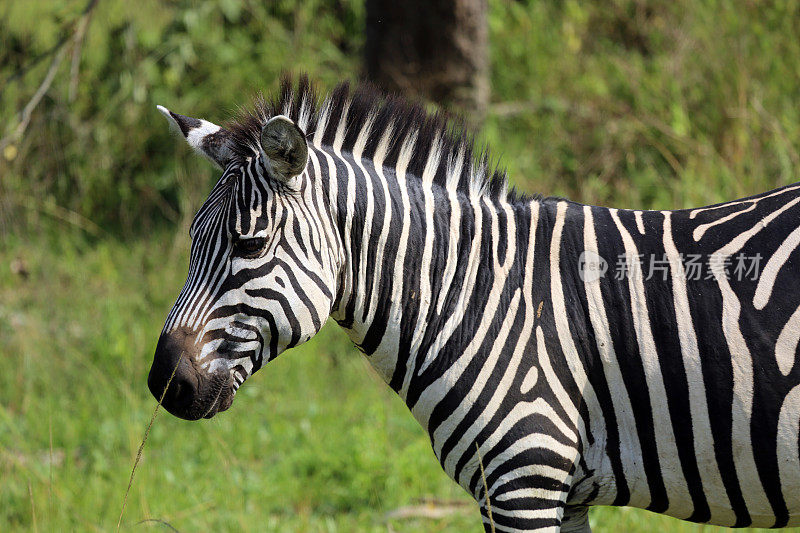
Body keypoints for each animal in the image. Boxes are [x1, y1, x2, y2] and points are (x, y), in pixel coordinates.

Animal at [148, 76, 800, 532]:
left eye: (249, 244)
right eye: (191, 244)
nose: (162, 384)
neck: (478, 296)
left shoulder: (523, 480)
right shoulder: (561, 493)